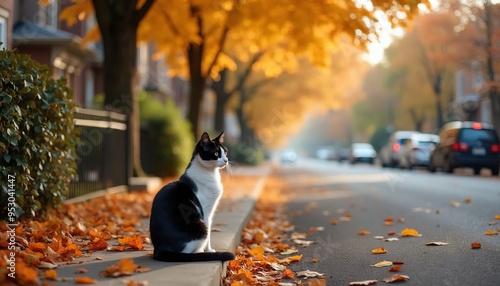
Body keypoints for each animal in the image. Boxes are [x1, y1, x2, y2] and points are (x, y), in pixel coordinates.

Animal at [148, 132, 236, 262]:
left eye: (225, 152)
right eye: (216, 154)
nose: (226, 160)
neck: (210, 173)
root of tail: (159, 249)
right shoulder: (206, 211)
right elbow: (209, 234)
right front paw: (209, 250)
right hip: (200, 226)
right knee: (188, 252)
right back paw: (200, 253)